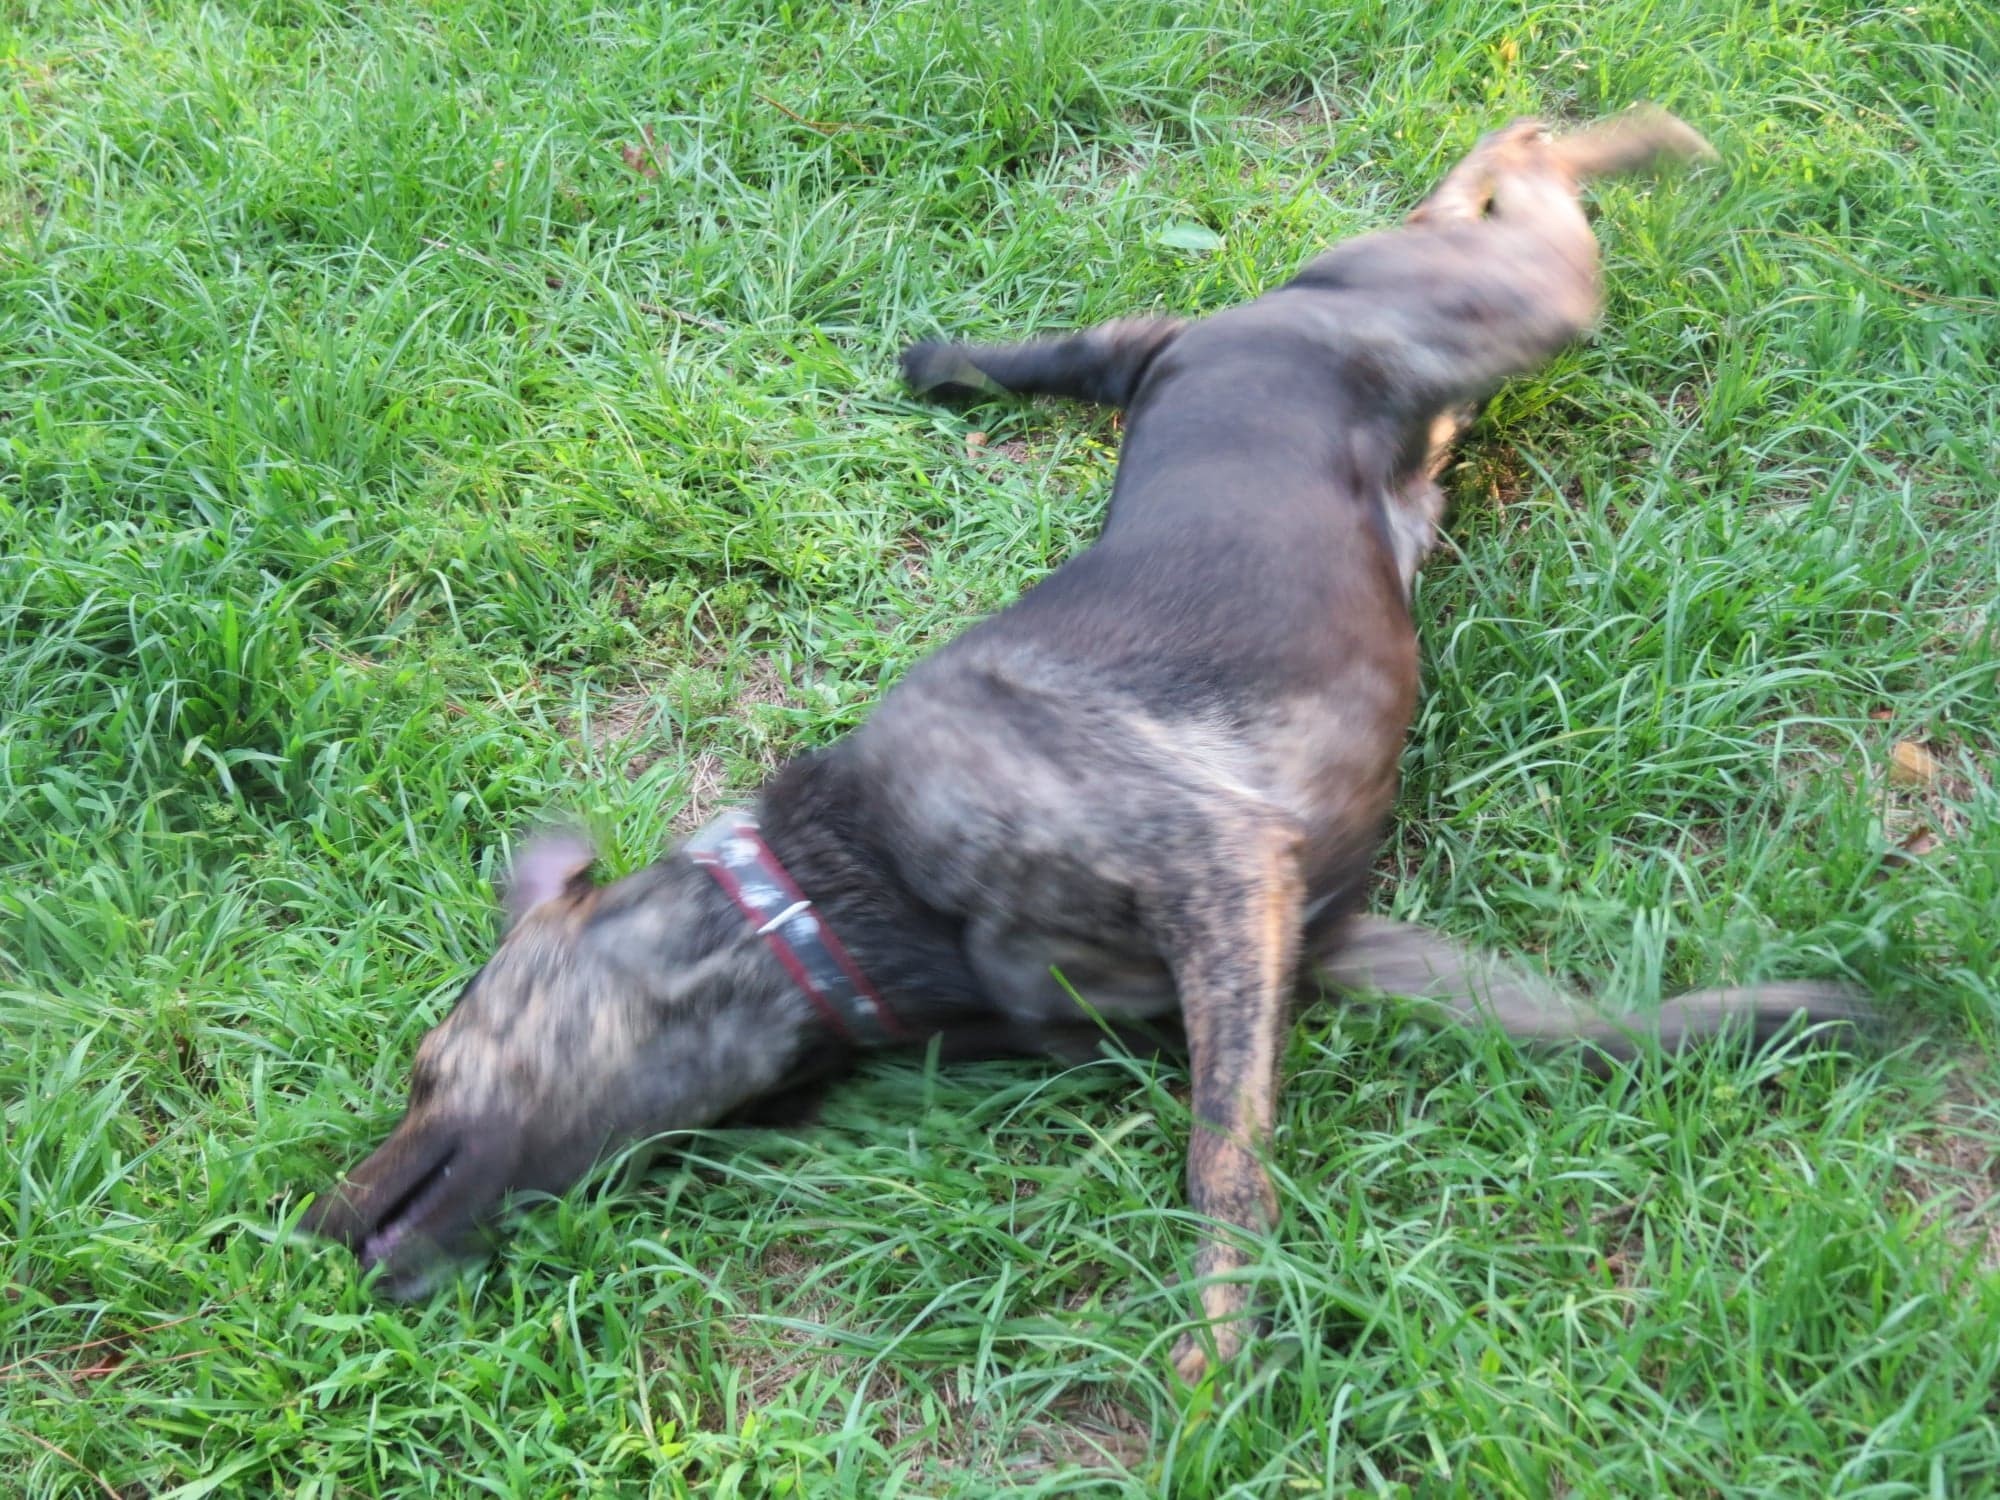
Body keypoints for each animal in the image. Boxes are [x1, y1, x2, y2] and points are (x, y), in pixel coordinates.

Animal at [304, 108, 1864, 1384]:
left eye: (432, 1070)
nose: (313, 1228)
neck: (828, 894)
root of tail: (1239, 330)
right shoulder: (1333, 943)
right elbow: (1597, 1022)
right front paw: (1790, 1019)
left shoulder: (1221, 876)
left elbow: (1219, 1164)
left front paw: (1214, 1360)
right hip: (1418, 377)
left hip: (1514, 308)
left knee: (1523, 153)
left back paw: (1646, 139)